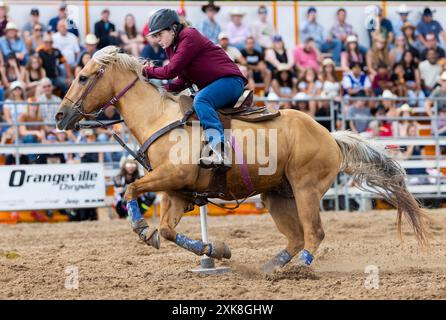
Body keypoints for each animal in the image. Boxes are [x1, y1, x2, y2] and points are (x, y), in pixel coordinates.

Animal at [54, 47, 430, 272]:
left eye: (83, 77)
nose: (59, 116)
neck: (159, 118)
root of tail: (329, 136)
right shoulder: (175, 191)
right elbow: (169, 230)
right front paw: (216, 250)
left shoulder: (171, 176)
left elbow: (132, 190)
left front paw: (142, 228)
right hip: (277, 194)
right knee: (296, 237)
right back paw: (272, 267)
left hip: (306, 189)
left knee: (314, 233)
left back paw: (301, 269)